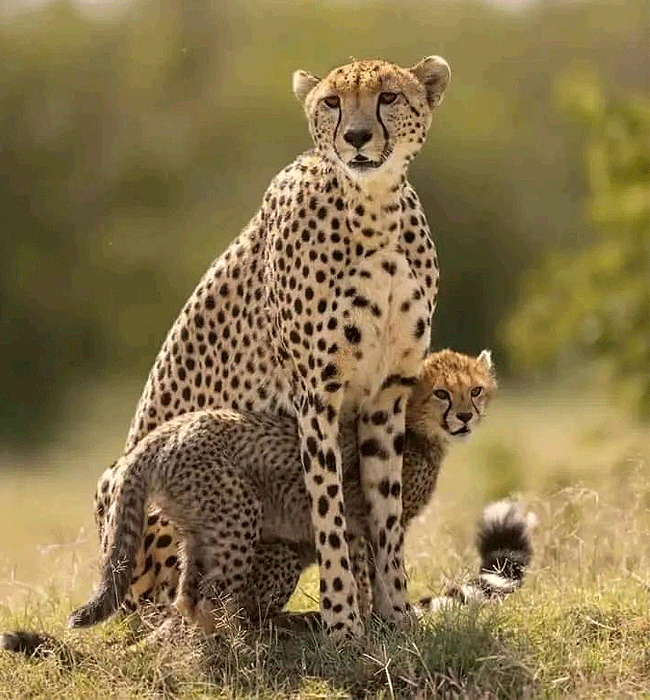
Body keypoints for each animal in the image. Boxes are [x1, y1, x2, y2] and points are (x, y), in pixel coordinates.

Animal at [70, 349, 499, 634]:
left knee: (188, 594)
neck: (413, 430)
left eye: (476, 390)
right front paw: (375, 621)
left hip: (198, 528)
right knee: (213, 596)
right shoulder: (362, 519)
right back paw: (241, 644)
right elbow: (371, 570)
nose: (465, 417)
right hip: (240, 518)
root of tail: (164, 432)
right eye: (442, 393)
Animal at [97, 55, 451, 638]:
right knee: (167, 602)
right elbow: (330, 513)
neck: (374, 210)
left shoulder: (386, 394)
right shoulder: (318, 397)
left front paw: (396, 618)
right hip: (134, 495)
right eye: (331, 102)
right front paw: (342, 624)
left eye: (389, 97)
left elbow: (385, 514)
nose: (356, 137)